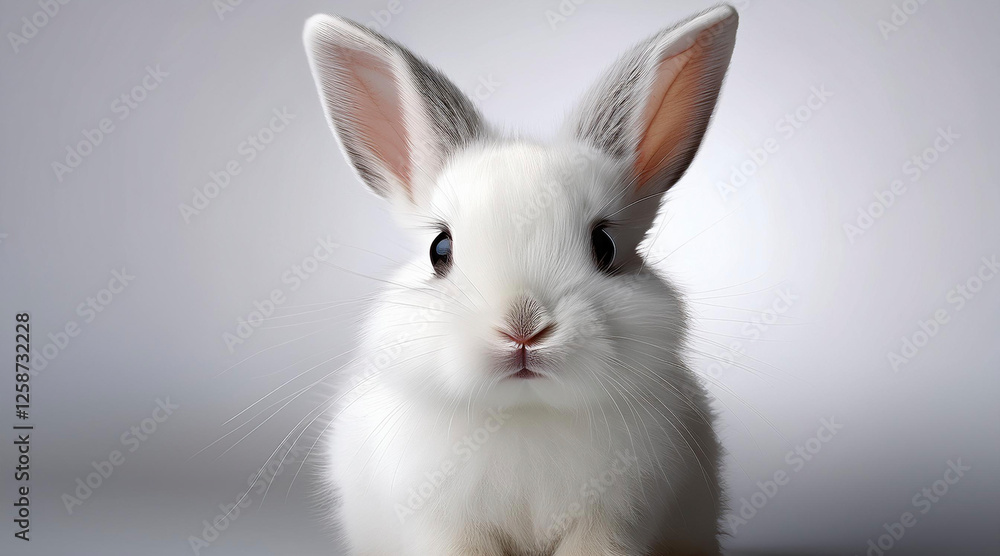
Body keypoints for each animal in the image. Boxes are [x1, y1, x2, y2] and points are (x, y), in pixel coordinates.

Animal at [302, 4, 738, 555]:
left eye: (604, 246)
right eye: (439, 249)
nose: (523, 328)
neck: (524, 411)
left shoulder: (609, 521)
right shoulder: (446, 524)